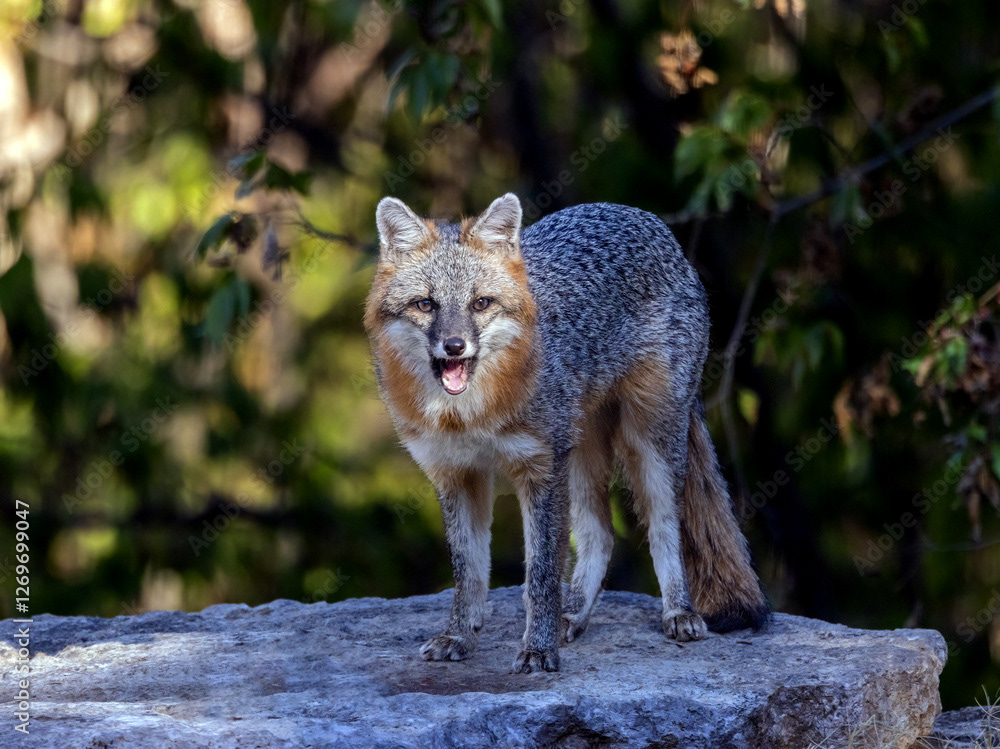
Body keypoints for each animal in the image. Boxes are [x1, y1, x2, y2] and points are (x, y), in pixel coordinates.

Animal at [364, 193, 769, 674]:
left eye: (481, 303)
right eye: (426, 305)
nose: (455, 346)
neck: (469, 415)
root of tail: (643, 218)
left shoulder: (539, 469)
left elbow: (541, 573)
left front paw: (538, 649)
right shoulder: (456, 475)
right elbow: (469, 573)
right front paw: (459, 635)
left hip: (648, 442)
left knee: (664, 525)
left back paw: (678, 611)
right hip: (579, 453)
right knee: (601, 533)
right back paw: (572, 613)